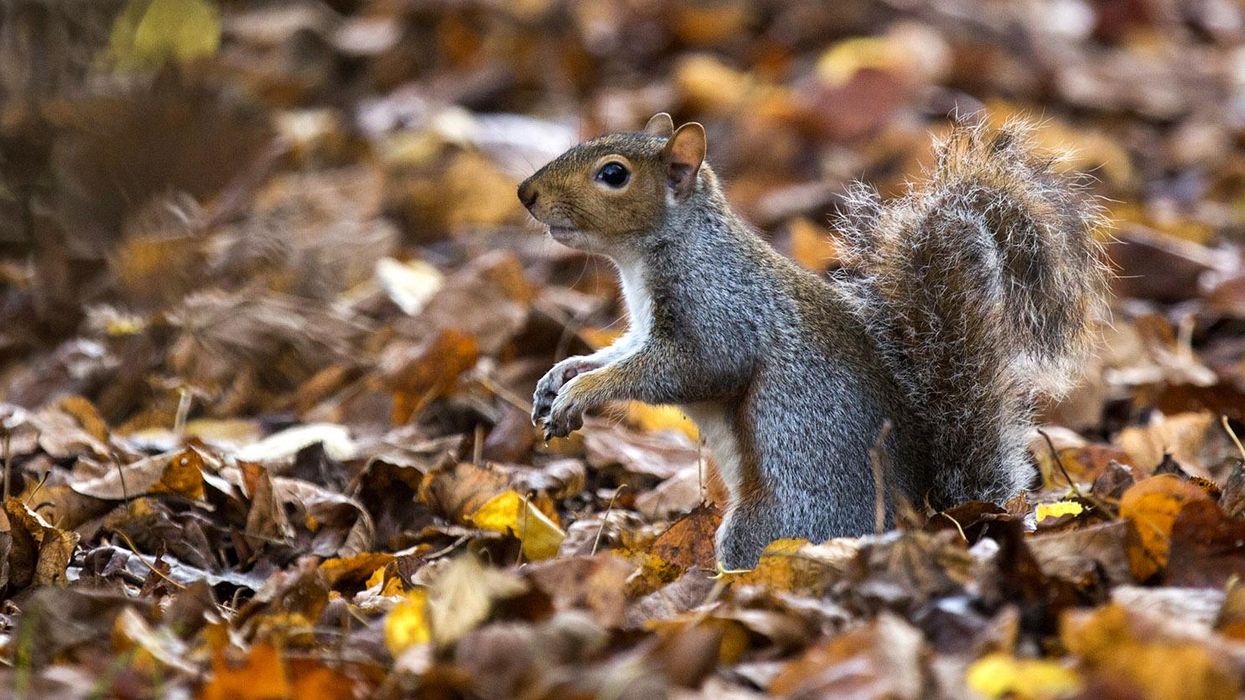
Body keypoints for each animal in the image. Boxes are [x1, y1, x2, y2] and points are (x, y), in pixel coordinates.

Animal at [515, 110, 1110, 567]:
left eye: (614, 174)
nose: (526, 193)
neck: (652, 254)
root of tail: (927, 517)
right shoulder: (643, 329)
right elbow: (619, 354)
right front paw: (563, 375)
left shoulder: (720, 312)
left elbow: (694, 368)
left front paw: (581, 393)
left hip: (777, 520)